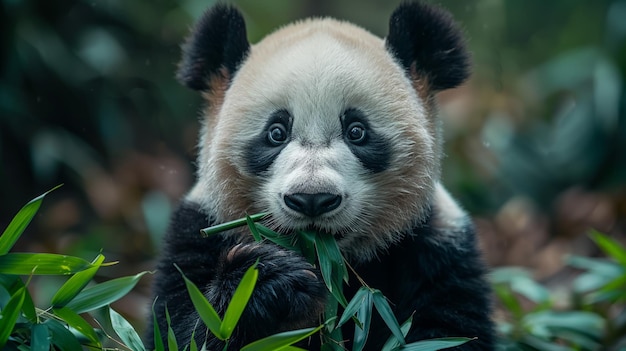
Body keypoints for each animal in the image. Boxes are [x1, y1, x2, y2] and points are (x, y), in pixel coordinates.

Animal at [146, 1, 492, 350]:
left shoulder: (438, 247)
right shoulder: (199, 231)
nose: (312, 199)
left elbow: (448, 331)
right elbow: (185, 328)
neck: (331, 263)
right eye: (276, 133)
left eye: (357, 131)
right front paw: (265, 280)